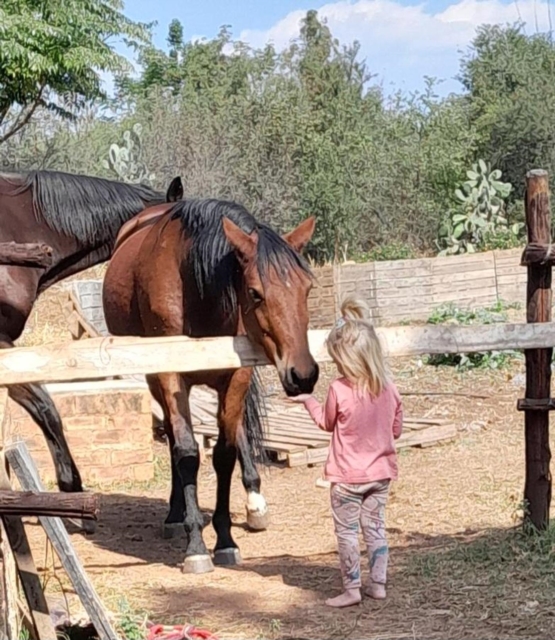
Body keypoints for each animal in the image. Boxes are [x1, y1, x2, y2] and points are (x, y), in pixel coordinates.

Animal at [102, 197, 319, 573]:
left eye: (307, 287)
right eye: (255, 293)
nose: (303, 374)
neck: (196, 291)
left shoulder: (236, 375)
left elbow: (224, 454)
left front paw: (226, 540)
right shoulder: (170, 376)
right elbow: (187, 453)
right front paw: (196, 545)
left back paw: (254, 503)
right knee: (173, 440)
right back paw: (176, 515)